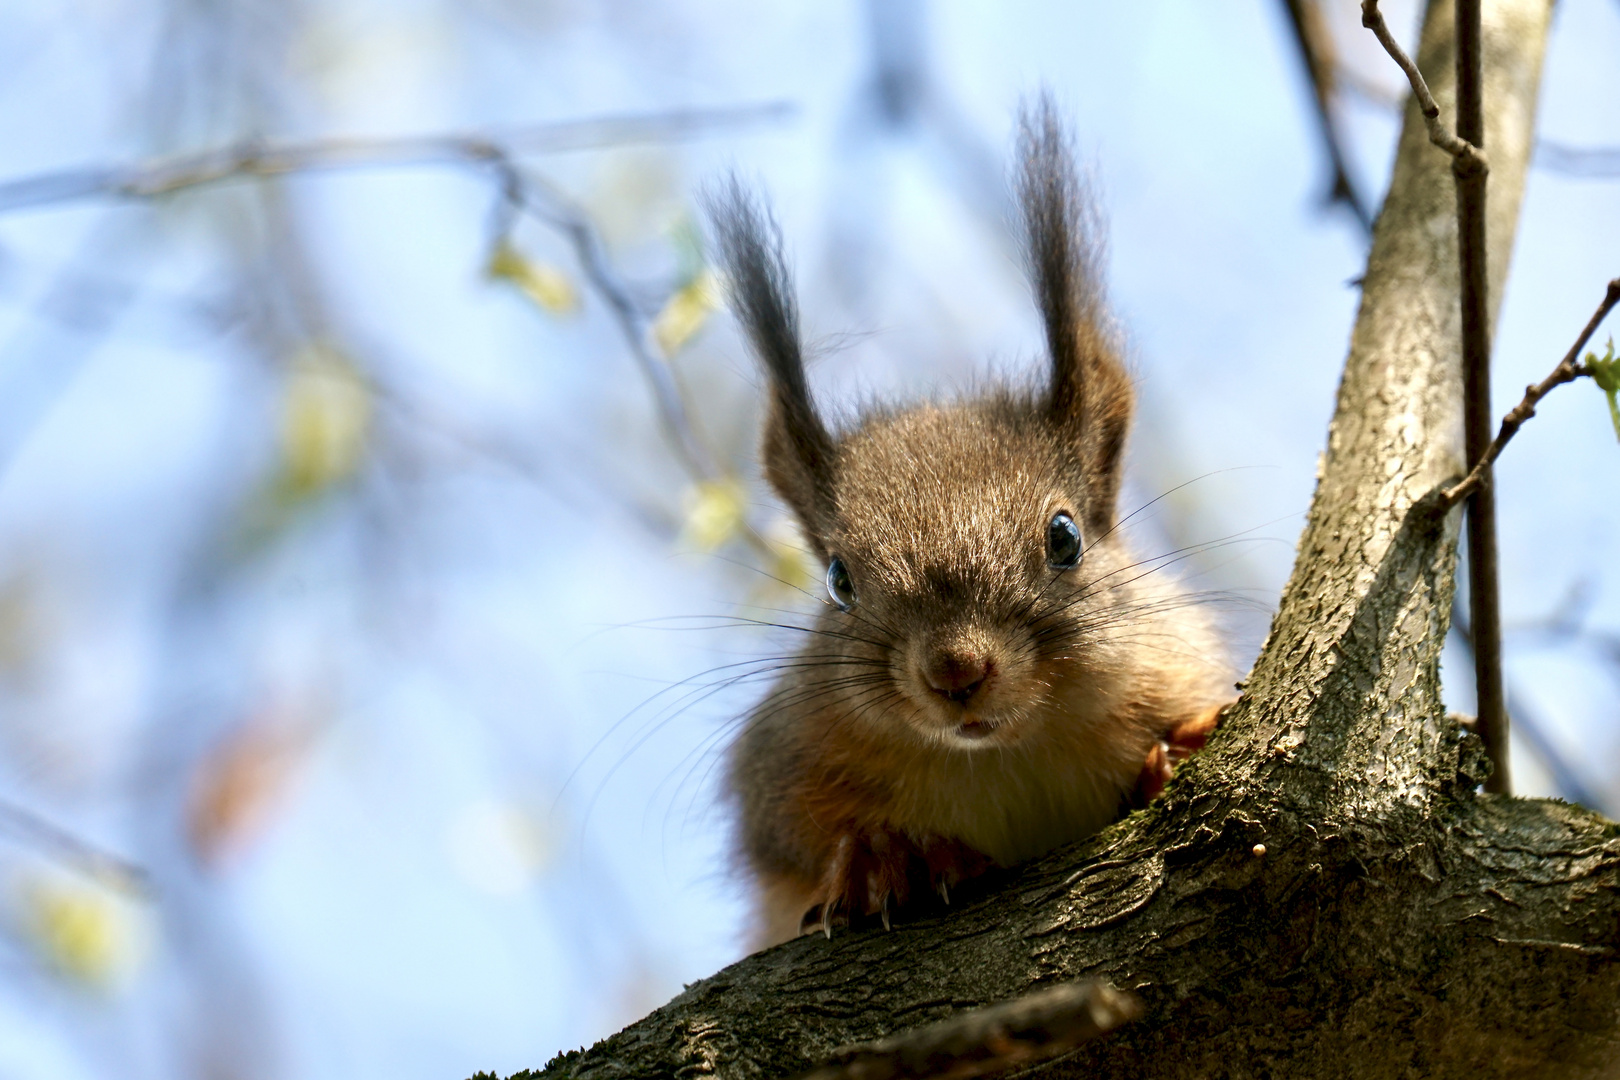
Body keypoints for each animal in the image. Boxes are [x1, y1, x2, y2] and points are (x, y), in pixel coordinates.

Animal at [709, 97, 1224, 952]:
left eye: (1065, 537)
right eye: (839, 580)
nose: (955, 671)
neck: (1004, 752)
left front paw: (1176, 756)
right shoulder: (782, 758)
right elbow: (784, 839)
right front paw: (887, 858)